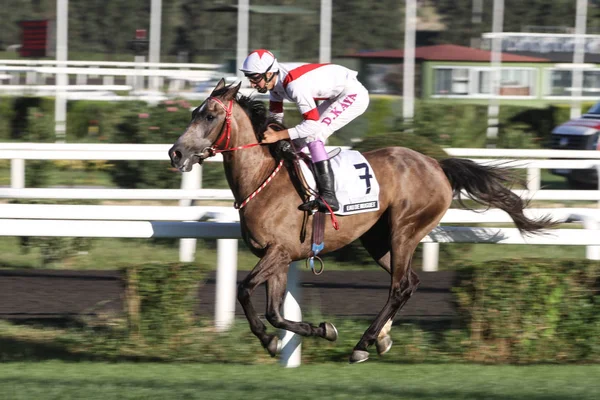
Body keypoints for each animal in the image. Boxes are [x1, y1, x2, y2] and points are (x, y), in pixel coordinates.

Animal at [168, 79, 552, 364]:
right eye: (194, 112)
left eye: (211, 116)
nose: (176, 152)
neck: (263, 178)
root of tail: (436, 164)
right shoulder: (277, 256)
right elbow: (275, 311)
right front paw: (316, 331)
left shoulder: (279, 251)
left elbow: (244, 290)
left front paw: (272, 340)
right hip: (377, 240)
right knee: (410, 282)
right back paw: (381, 338)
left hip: (404, 230)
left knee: (399, 286)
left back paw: (363, 344)